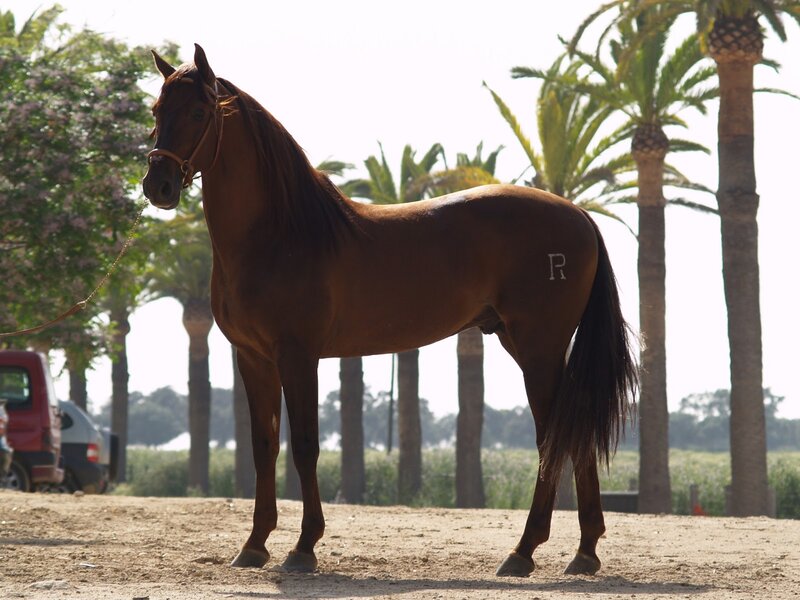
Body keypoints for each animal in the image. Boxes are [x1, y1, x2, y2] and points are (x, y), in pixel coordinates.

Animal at [142, 44, 637, 578]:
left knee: (555, 437)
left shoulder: (298, 357)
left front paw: (303, 547)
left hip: (538, 348)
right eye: (156, 111)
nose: (157, 185)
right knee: (571, 432)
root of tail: (579, 214)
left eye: (198, 111)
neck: (280, 232)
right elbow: (263, 446)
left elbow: (305, 446)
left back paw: (524, 551)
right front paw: (254, 544)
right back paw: (583, 551)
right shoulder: (252, 358)